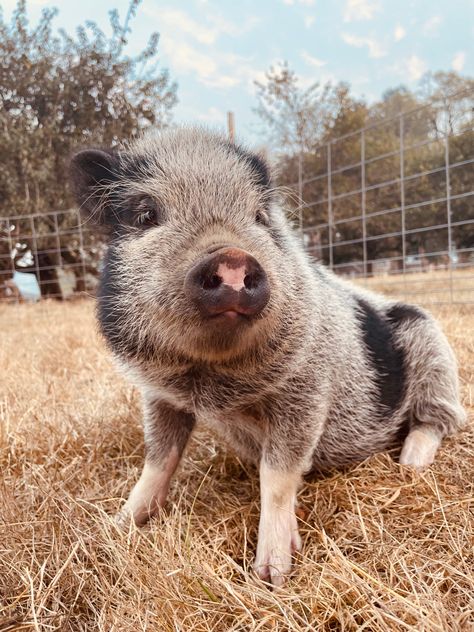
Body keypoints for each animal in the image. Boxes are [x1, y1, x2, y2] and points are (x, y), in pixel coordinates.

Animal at [69, 127, 466, 588]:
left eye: (259, 216)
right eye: (145, 214)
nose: (232, 256)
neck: (210, 383)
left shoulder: (307, 389)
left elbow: (276, 475)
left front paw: (272, 574)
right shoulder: (159, 394)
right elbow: (158, 459)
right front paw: (113, 527)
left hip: (434, 351)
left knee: (438, 420)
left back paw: (409, 464)